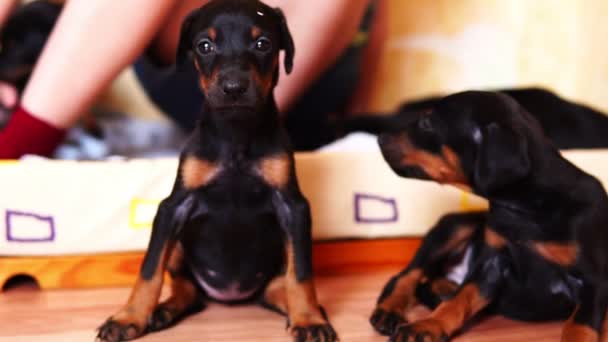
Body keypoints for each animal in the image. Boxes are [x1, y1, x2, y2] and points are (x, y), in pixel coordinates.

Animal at [97, 1, 340, 340]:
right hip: (180, 247)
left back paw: (304, 310)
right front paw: (128, 317)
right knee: (187, 288)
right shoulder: (173, 207)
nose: (233, 88)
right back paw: (162, 311)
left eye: (262, 44)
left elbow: (302, 274)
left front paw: (308, 319)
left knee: (277, 287)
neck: (236, 132)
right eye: (205, 46)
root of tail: (229, 293)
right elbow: (149, 269)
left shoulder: (294, 208)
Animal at [370, 91, 608, 342]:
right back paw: (392, 310)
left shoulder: (594, 280)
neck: (527, 207)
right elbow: (459, 300)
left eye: (427, 123)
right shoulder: (491, 263)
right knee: (408, 275)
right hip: (456, 226)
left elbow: (579, 324)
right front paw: (427, 325)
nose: (380, 138)